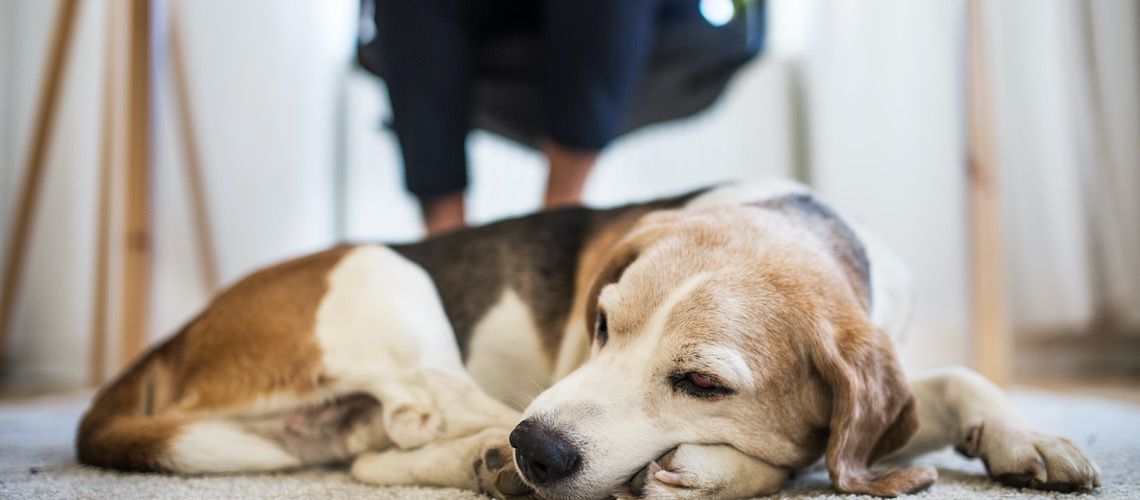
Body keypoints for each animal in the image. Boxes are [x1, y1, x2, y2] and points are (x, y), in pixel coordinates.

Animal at [78, 178, 1094, 496]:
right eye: (601, 324)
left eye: (704, 383)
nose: (539, 450)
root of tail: (179, 334)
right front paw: (723, 469)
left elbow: (959, 381)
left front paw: (1031, 438)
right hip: (389, 275)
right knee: (427, 420)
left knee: (377, 454)